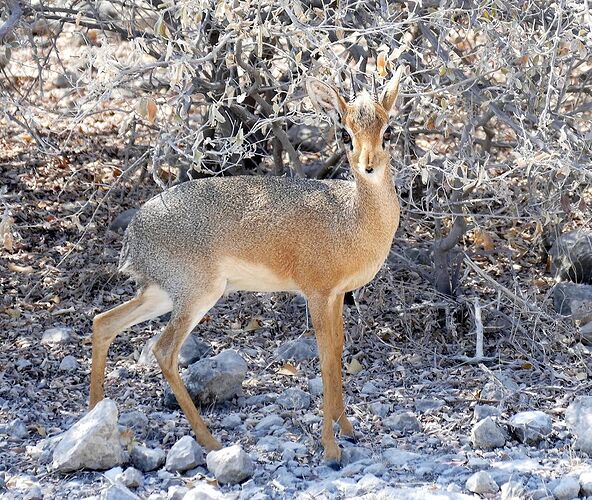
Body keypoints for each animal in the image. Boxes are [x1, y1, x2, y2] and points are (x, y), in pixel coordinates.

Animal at [90, 67, 404, 464]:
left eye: (387, 130)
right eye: (345, 133)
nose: (369, 166)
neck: (352, 218)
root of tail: (134, 235)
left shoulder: (336, 296)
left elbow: (336, 353)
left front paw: (346, 429)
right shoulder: (317, 294)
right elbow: (324, 360)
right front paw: (331, 448)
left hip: (162, 294)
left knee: (104, 322)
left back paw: (94, 417)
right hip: (197, 296)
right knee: (163, 350)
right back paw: (209, 441)